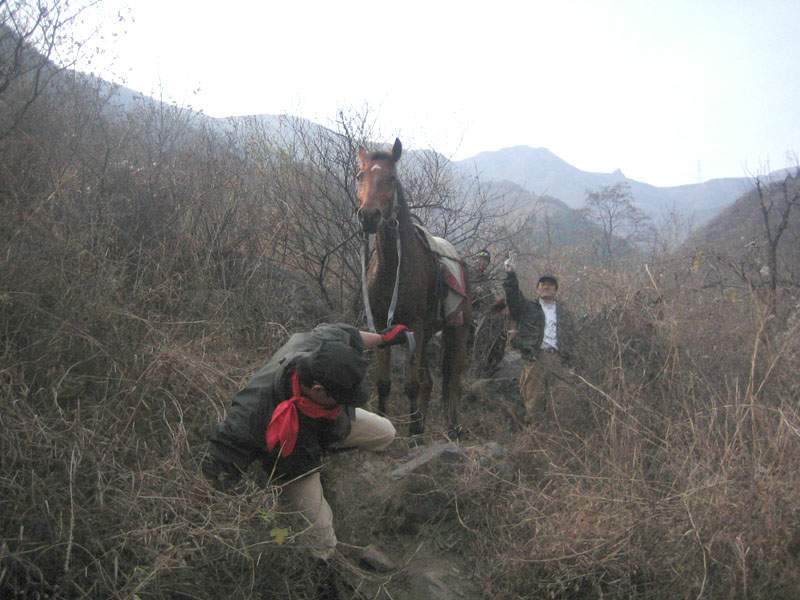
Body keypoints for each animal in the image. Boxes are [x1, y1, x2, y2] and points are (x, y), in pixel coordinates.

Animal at [354, 137, 472, 436]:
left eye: (392, 178)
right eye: (360, 176)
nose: (368, 216)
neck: (394, 267)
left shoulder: (415, 326)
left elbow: (411, 385)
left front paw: (413, 436)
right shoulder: (383, 327)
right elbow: (384, 383)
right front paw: (390, 422)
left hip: (456, 330)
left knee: (452, 380)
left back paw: (452, 427)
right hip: (428, 334)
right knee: (429, 381)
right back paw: (420, 422)